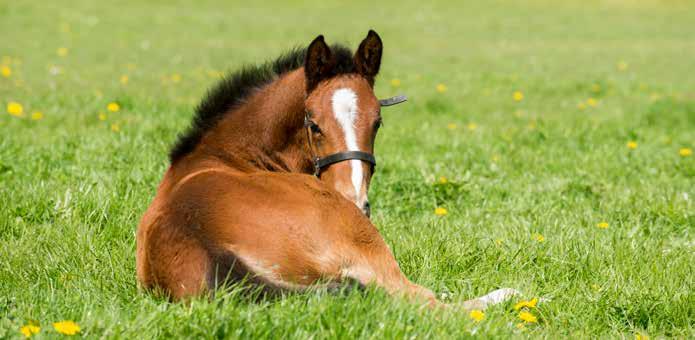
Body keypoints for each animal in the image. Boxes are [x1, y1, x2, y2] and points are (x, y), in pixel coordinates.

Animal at [136, 30, 520, 310]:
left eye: (378, 123)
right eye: (314, 125)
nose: (355, 200)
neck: (225, 153)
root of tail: (203, 242)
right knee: (423, 301)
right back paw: (506, 295)